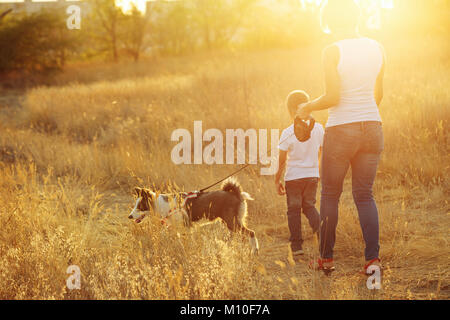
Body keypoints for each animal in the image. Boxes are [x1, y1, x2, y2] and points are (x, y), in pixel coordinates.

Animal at [128, 179, 258, 254]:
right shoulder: (177, 228)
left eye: (140, 206)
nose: (129, 216)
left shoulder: (187, 227)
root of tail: (236, 193)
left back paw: (254, 251)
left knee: (251, 233)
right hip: (229, 222)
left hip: (232, 222)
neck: (163, 204)